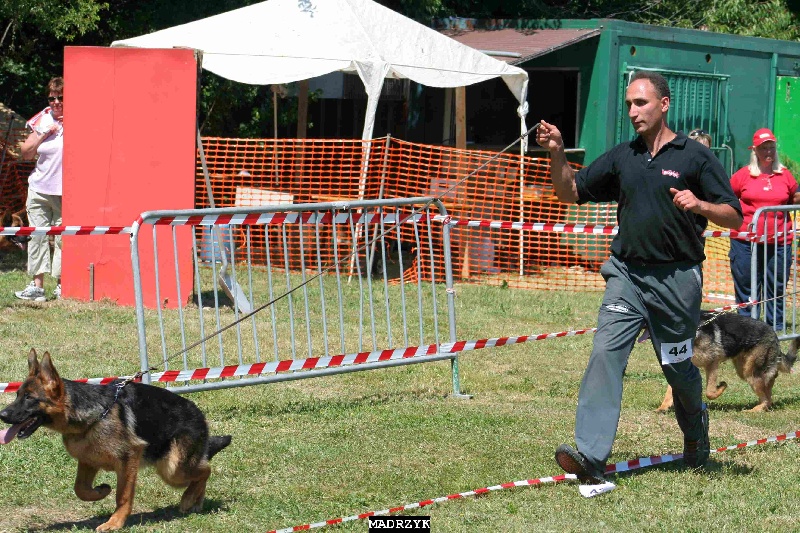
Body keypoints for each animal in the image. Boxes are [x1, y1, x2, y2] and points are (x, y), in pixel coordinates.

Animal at [0, 350, 231, 528]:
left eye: (29, 398)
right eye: (17, 395)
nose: (2, 414)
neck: (91, 415)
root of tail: (199, 414)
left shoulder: (128, 460)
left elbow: (123, 496)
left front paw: (115, 522)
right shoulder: (87, 461)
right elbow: (80, 489)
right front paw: (101, 491)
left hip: (172, 468)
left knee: (206, 470)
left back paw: (188, 499)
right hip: (172, 469)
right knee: (203, 468)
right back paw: (196, 502)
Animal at [660, 312, 796, 412]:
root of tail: (773, 333)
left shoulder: (712, 363)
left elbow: (709, 392)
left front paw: (721, 387)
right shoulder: (680, 371)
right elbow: (670, 389)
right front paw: (663, 407)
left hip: (750, 371)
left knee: (766, 391)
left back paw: (755, 409)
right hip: (743, 369)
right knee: (770, 382)